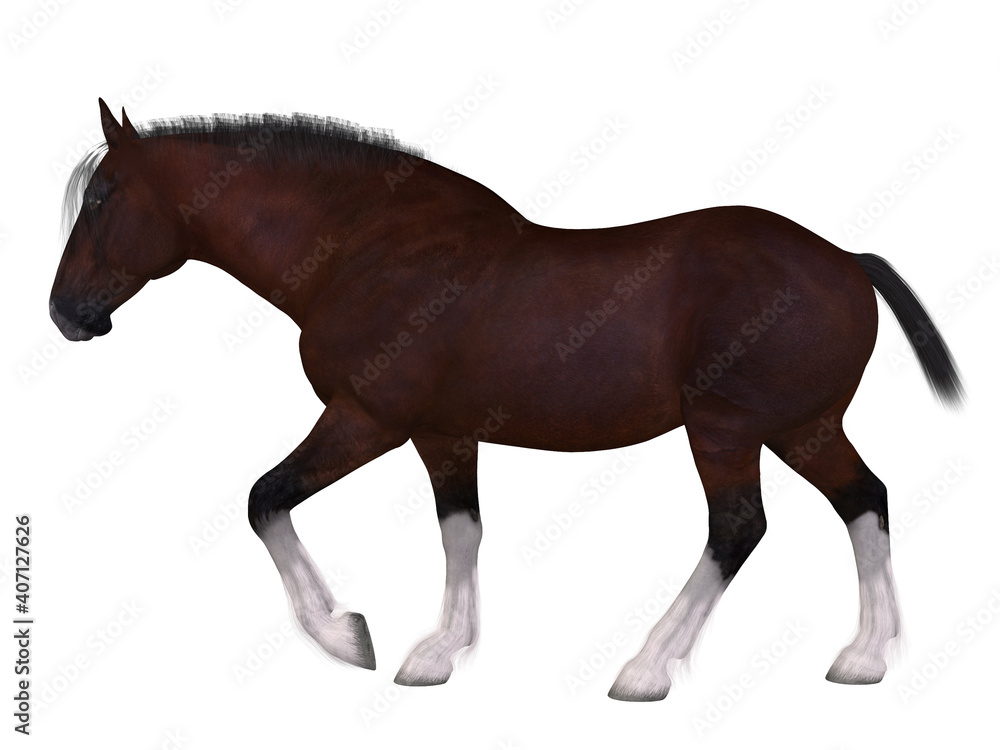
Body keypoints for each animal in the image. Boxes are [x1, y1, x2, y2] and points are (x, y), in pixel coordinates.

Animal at [50, 99, 963, 701]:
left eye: (102, 198)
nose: (65, 314)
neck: (363, 248)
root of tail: (847, 260)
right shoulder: (442, 436)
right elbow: (462, 531)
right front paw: (438, 654)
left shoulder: (365, 421)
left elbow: (264, 499)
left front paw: (348, 636)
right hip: (804, 428)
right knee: (865, 501)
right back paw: (865, 658)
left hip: (727, 430)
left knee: (740, 528)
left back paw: (645, 670)